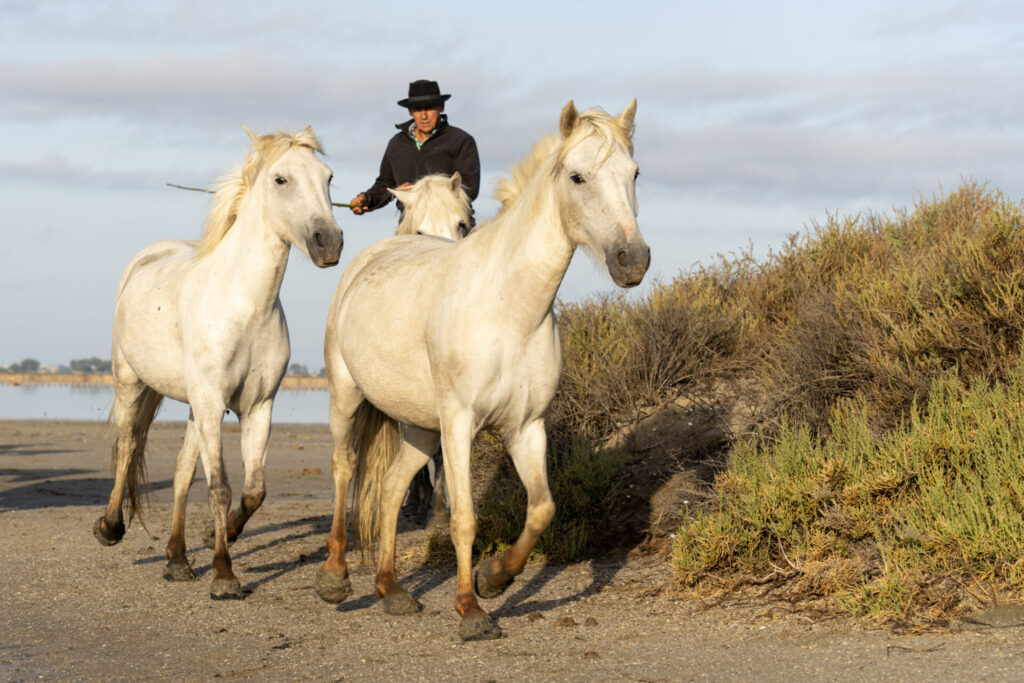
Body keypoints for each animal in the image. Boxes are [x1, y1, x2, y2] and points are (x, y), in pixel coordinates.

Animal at [93, 127, 343, 601]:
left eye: (329, 177)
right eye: (281, 179)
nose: (330, 243)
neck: (244, 307)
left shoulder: (257, 406)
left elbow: (253, 490)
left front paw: (216, 536)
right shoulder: (212, 401)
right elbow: (220, 488)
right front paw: (224, 575)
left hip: (194, 406)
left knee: (180, 472)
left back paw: (177, 559)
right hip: (131, 382)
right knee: (128, 445)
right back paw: (110, 527)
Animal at [314, 101, 648, 640]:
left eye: (634, 173)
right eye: (577, 176)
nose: (632, 260)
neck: (508, 308)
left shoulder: (525, 427)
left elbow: (542, 509)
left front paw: (495, 579)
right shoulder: (460, 426)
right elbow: (465, 517)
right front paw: (471, 609)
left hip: (419, 428)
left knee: (389, 489)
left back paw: (391, 590)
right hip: (348, 398)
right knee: (345, 469)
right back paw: (335, 579)